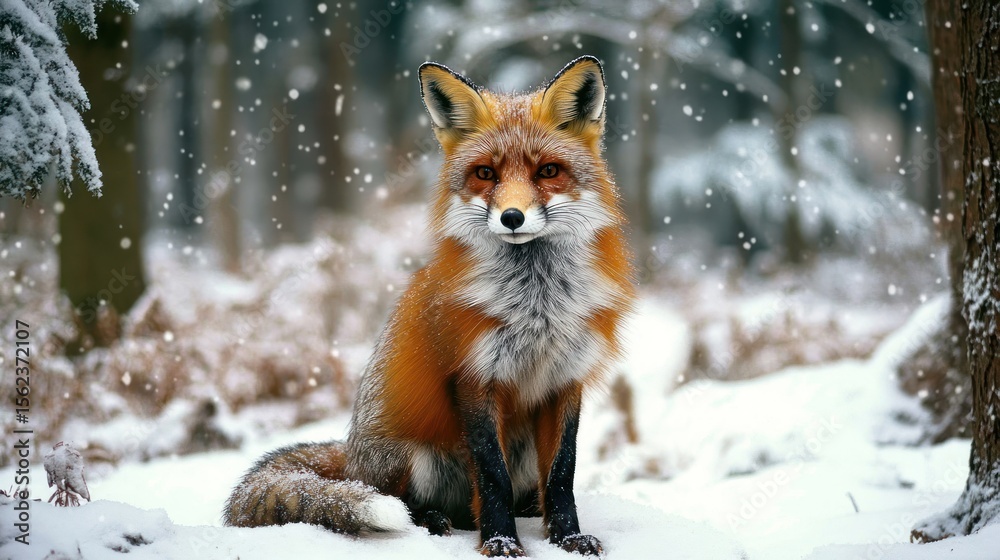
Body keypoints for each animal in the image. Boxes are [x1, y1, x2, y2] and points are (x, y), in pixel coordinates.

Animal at [223, 55, 635, 558]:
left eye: (548, 171)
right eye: (485, 174)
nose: (511, 217)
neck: (536, 303)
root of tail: (350, 456)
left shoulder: (566, 379)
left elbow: (562, 474)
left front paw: (567, 538)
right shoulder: (474, 377)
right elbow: (491, 476)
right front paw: (500, 542)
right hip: (413, 457)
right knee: (407, 503)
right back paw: (435, 521)